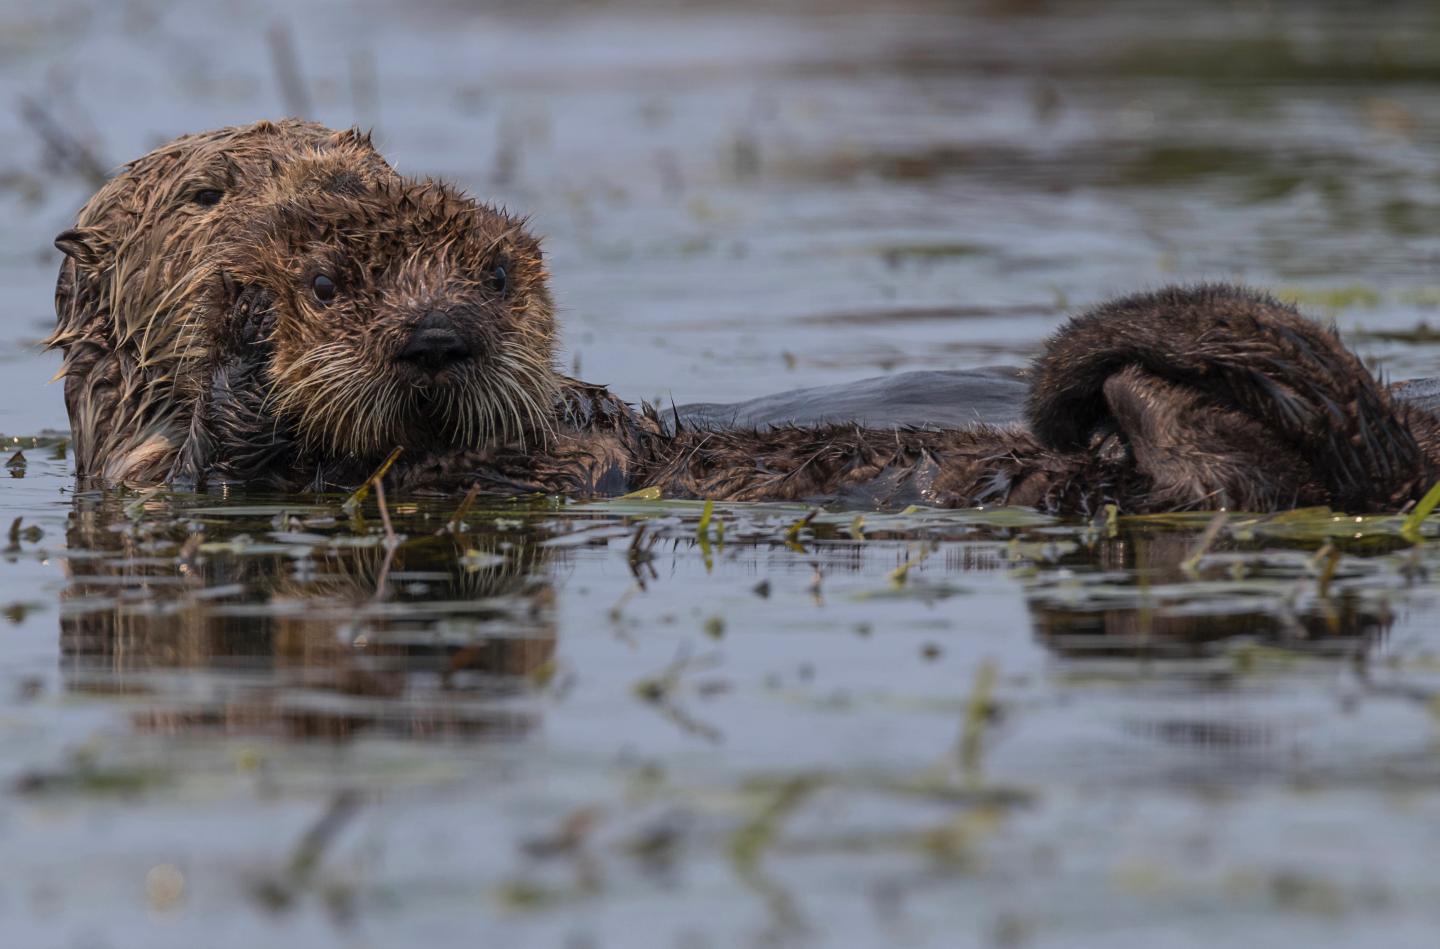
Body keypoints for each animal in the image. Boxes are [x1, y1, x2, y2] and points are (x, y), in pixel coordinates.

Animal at [47, 122, 1440, 514]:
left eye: (361, 163)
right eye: (209, 192)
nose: (440, 335)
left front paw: (584, 400)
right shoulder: (153, 476)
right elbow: (216, 462)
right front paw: (244, 355)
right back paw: (1137, 405)